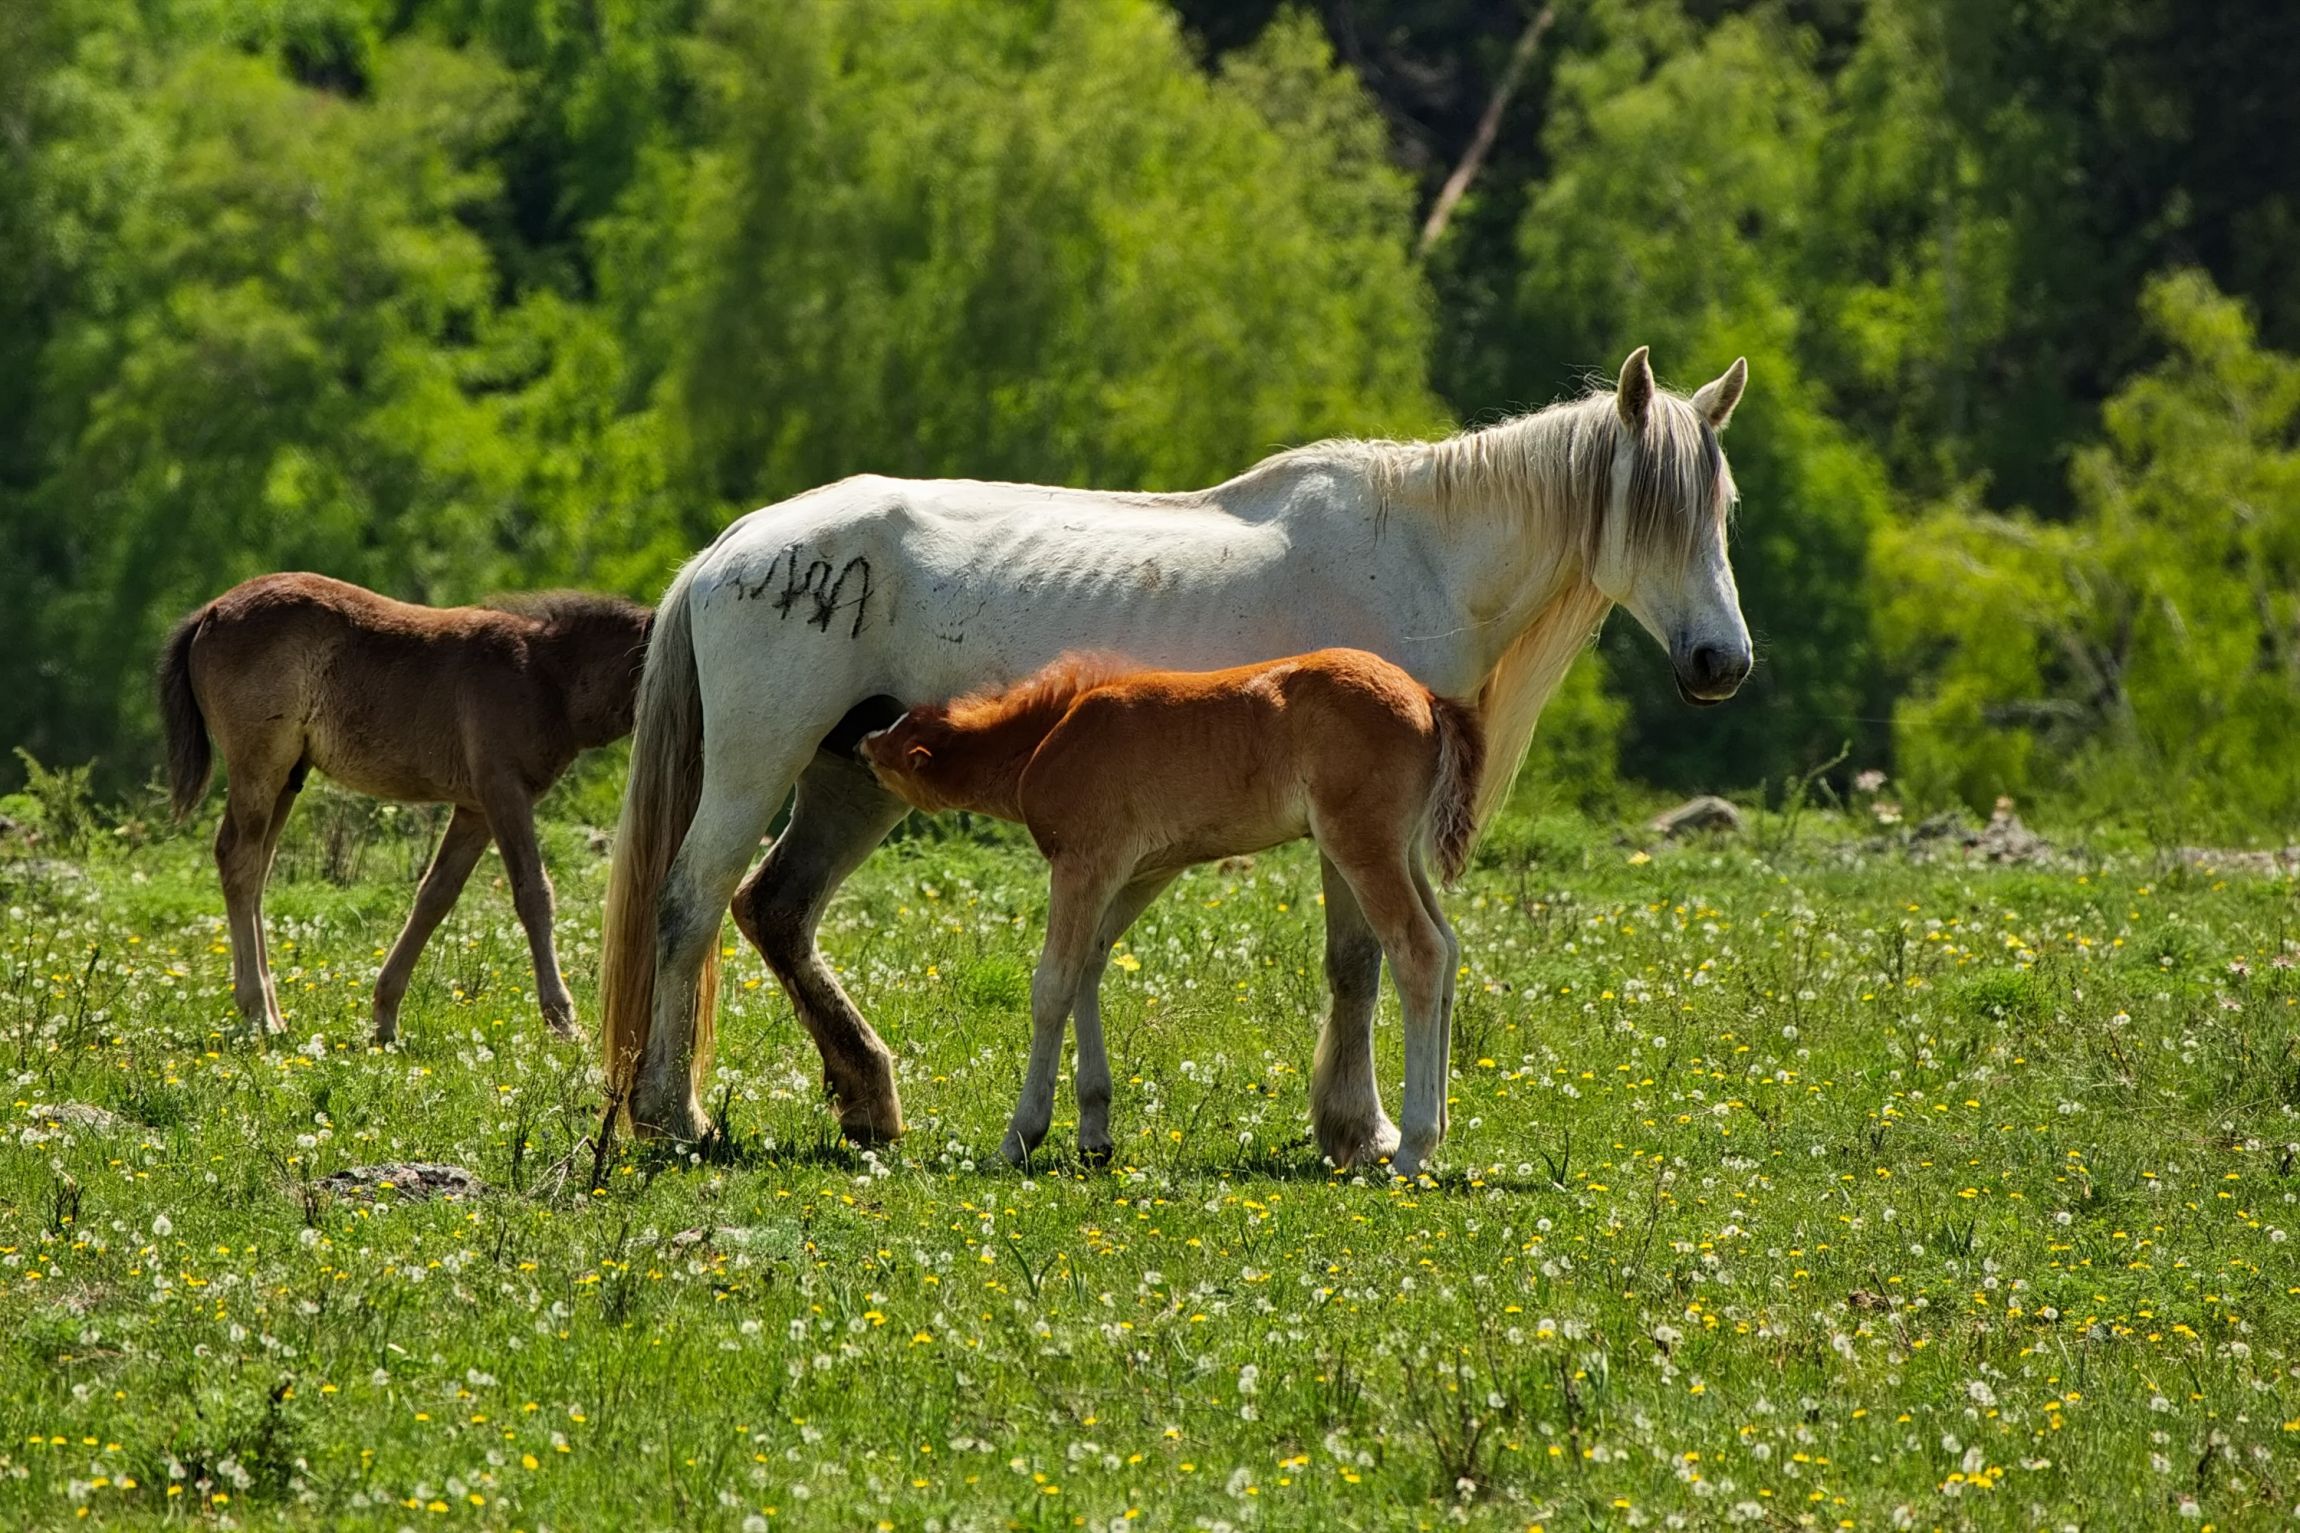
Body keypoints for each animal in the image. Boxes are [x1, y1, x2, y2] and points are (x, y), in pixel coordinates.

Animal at [161, 572, 648, 1043]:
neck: (545, 676)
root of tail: (209, 612)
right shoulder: (504, 790)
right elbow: (534, 893)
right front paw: (565, 1022)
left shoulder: (474, 809)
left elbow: (435, 895)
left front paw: (385, 1015)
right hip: (259, 766)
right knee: (239, 859)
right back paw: (258, 1013)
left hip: (288, 776)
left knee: (258, 867)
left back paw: (273, 1014)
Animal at [602, 347, 1748, 1158]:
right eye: (1657, 515)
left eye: (1723, 509)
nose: (1720, 662)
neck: (1420, 555)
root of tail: (735, 546)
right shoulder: (1354, 832)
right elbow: (1362, 962)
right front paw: (1363, 1130)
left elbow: (1355, 964)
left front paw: (1350, 1126)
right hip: (760, 765)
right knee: (692, 903)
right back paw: (673, 1114)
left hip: (855, 780)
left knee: (776, 910)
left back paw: (867, 1100)